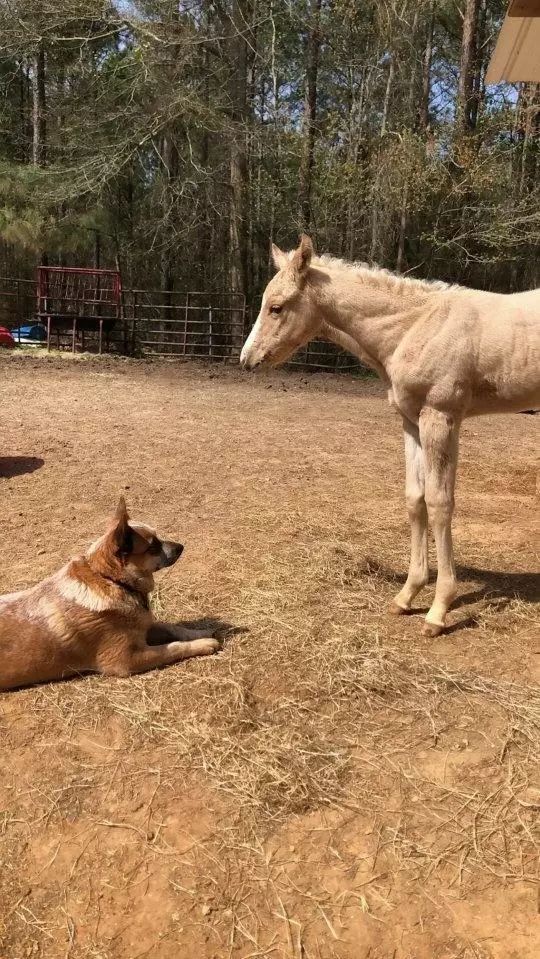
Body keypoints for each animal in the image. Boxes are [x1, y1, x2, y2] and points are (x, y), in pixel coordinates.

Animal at [0, 498, 219, 692]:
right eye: (152, 546)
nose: (181, 547)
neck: (112, 580)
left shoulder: (143, 625)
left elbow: (172, 627)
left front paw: (201, 633)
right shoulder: (125, 660)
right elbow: (174, 647)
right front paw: (203, 644)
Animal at [242, 235, 540, 632]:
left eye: (276, 307)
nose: (246, 359)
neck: (415, 327)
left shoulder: (440, 418)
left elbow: (440, 503)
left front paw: (438, 609)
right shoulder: (411, 422)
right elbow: (415, 500)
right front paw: (407, 595)